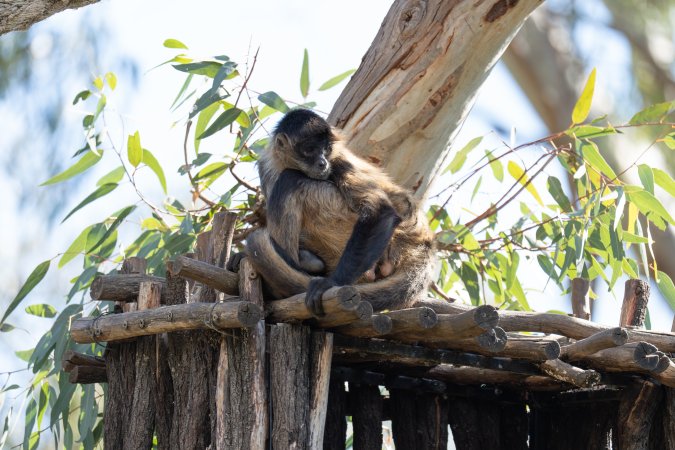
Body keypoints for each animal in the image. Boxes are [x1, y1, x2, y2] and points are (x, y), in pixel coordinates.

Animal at [235, 108, 435, 316]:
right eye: (310, 149)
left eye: (326, 149)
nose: (323, 163)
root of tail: (424, 244)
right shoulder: (266, 165)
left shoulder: (338, 161)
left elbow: (380, 210)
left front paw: (332, 283)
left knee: (289, 180)